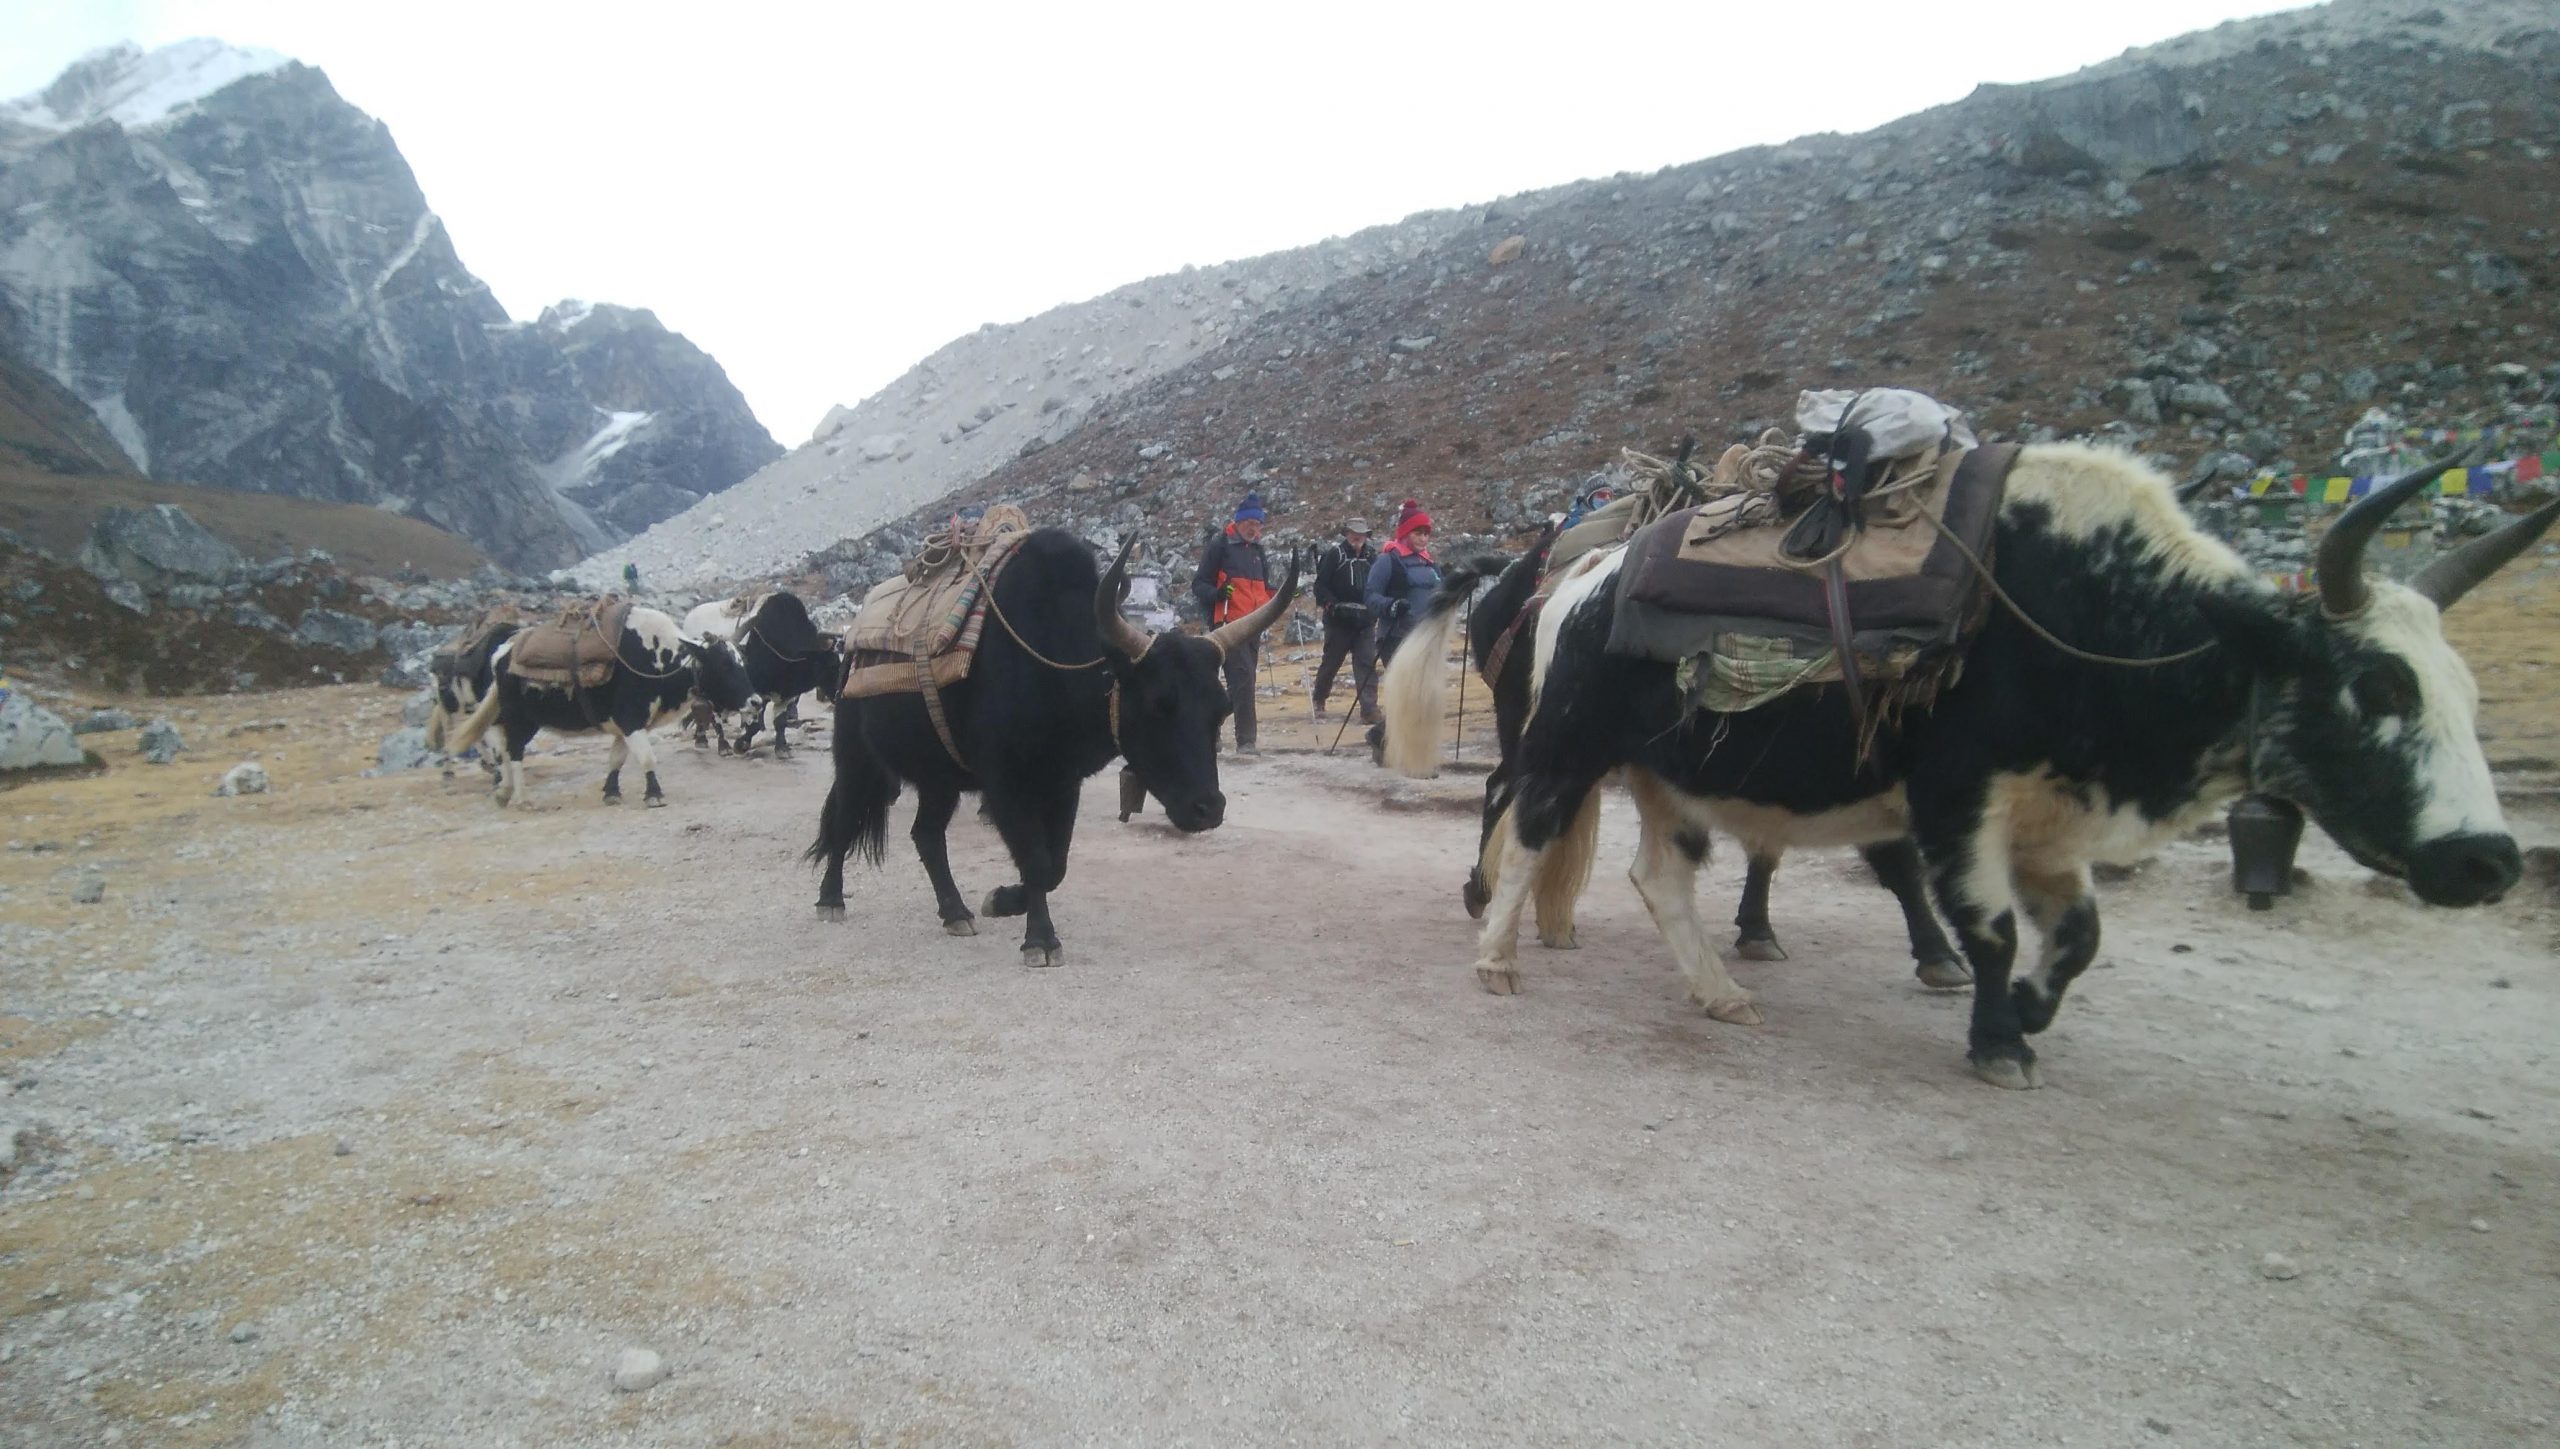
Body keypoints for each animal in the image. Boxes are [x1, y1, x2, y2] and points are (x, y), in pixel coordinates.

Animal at [442, 605, 754, 809]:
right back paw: (521, 798)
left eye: (741, 660)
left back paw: (503, 793)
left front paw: (611, 792)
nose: (755, 701)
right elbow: (647, 757)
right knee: (514, 751)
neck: (660, 660)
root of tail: (502, 653)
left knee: (504, 751)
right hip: (520, 719)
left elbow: (616, 759)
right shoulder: (631, 720)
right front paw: (654, 794)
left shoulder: (623, 727)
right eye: (724, 664)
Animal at [808, 531, 1300, 966]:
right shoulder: (1006, 785)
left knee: (926, 834)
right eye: (1160, 703)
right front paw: (1039, 941)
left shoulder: (1064, 783)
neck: (1052, 667)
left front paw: (1003, 900)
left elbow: (1056, 864)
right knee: (844, 819)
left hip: (939, 779)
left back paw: (955, 912)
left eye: (1222, 709)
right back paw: (831, 900)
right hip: (858, 759)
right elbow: (1036, 860)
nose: (1208, 808)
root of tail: (851, 646)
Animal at [1436, 531, 1968, 988]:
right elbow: (1895, 854)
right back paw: (1486, 900)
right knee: (1512, 796)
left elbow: (1772, 845)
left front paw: (1757, 930)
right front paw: (1940, 954)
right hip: (1542, 731)